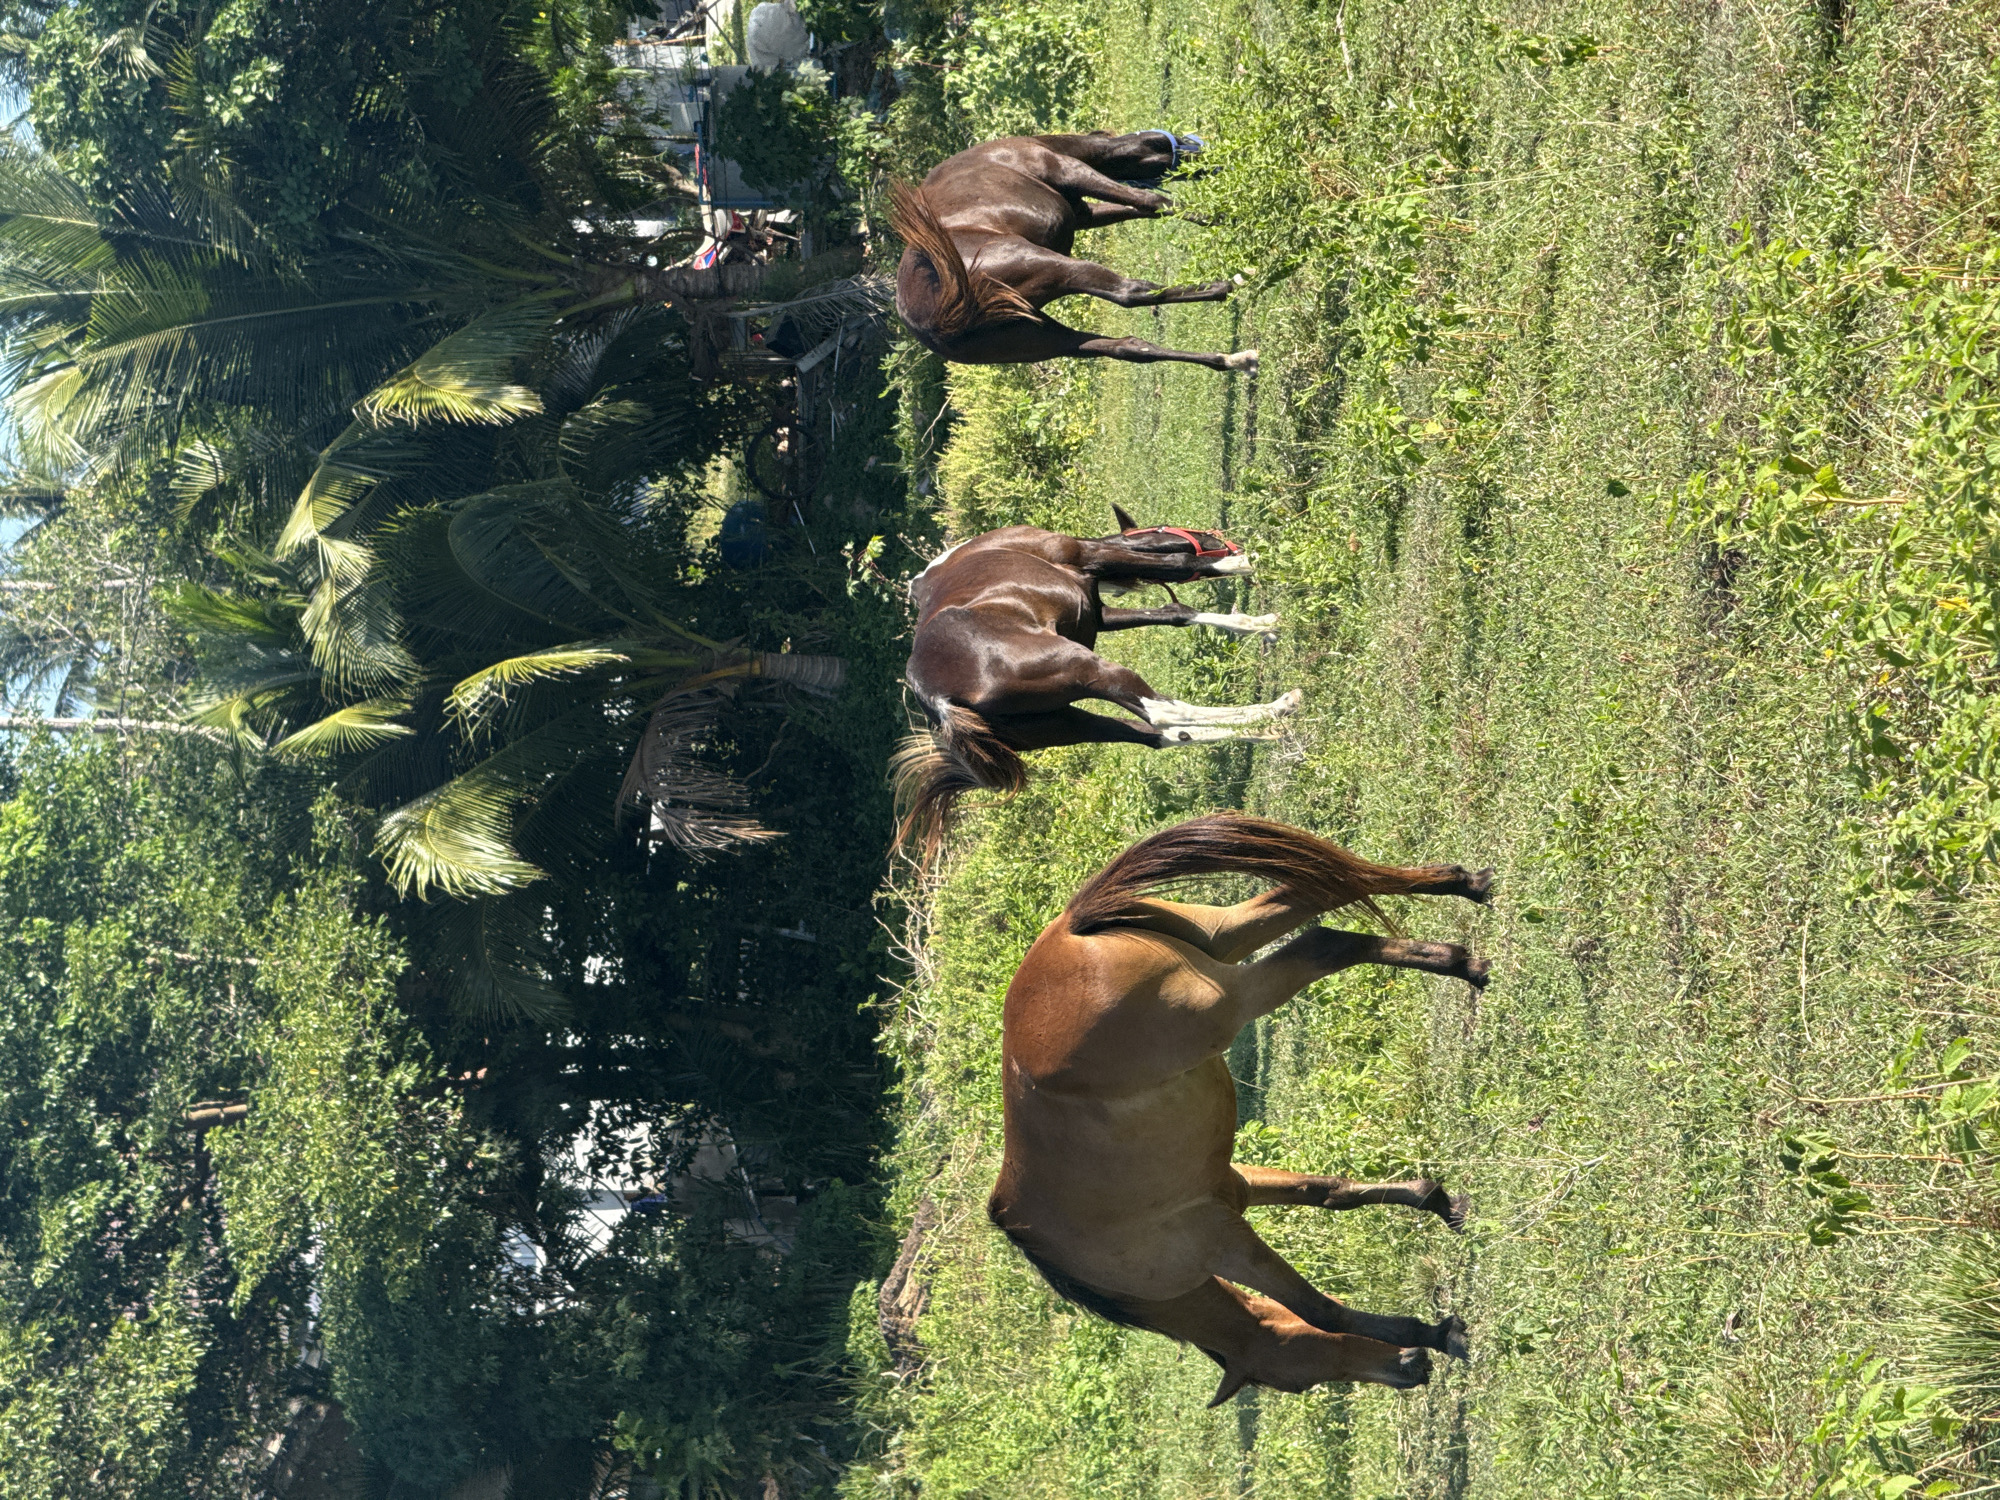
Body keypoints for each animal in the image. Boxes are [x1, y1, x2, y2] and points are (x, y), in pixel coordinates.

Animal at [890, 131, 1258, 372]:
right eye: (1165, 145)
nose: (1222, 157)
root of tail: (939, 312)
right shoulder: (1073, 172)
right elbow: (1154, 202)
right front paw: (1233, 217)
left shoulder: (1083, 214)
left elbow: (1145, 209)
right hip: (1059, 268)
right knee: (1131, 292)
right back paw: (1230, 284)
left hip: (1040, 338)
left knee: (1128, 347)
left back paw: (1235, 360)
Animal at [894, 506, 1299, 861]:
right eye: (1169, 528)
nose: (1225, 543)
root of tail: (935, 695)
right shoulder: (1093, 556)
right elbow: (1180, 565)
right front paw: (1251, 561)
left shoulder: (1099, 615)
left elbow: (1176, 613)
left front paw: (1260, 624)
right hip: (1085, 668)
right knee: (1163, 711)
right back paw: (1273, 711)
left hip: (1067, 723)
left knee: (1160, 733)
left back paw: (1265, 728)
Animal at [989, 813, 1492, 1402]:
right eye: (1300, 1381)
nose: (1413, 1369)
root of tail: (1069, 930)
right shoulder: (1235, 1186)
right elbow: (1329, 1194)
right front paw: (1437, 1202)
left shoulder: (1224, 1241)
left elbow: (1320, 1309)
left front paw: (1438, 1333)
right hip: (1224, 934)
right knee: (1322, 888)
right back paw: (1465, 898)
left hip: (1229, 999)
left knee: (1322, 940)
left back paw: (1464, 958)